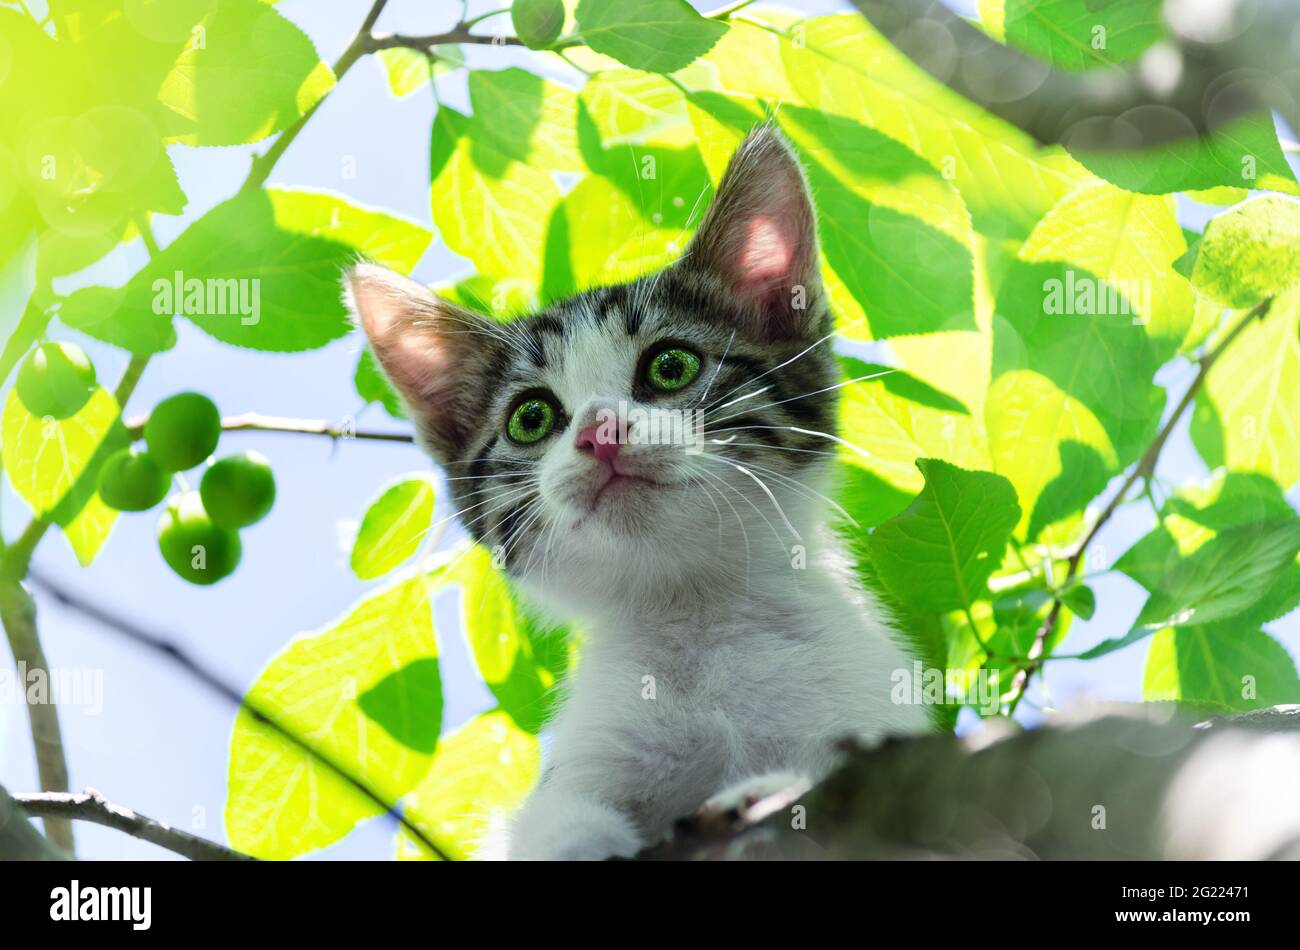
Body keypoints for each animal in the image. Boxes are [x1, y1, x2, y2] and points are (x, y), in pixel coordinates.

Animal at [345, 128, 935, 862]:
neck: (696, 612)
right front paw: (576, 840)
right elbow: (546, 824)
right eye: (531, 417)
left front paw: (766, 791)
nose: (600, 431)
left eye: (671, 366)